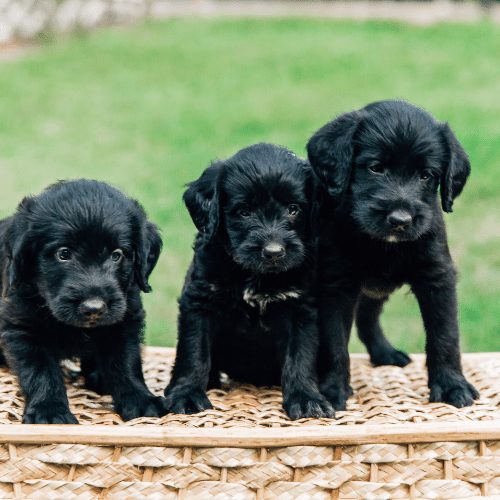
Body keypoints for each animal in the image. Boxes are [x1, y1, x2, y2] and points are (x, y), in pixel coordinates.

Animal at [0, 180, 167, 422]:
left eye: (117, 254)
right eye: (63, 254)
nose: (94, 308)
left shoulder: (125, 321)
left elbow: (127, 363)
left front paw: (140, 400)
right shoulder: (21, 327)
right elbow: (40, 371)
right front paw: (49, 410)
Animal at [166, 144, 334, 418]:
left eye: (293, 209)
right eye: (244, 211)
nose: (274, 252)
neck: (255, 276)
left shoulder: (301, 309)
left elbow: (300, 356)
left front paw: (307, 398)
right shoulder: (200, 302)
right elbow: (194, 352)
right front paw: (186, 393)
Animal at [306, 99, 478, 408]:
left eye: (426, 175)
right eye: (375, 168)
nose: (400, 220)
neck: (384, 244)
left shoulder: (437, 278)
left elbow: (445, 336)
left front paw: (451, 385)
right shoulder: (335, 284)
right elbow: (334, 340)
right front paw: (333, 389)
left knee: (367, 318)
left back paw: (384, 352)